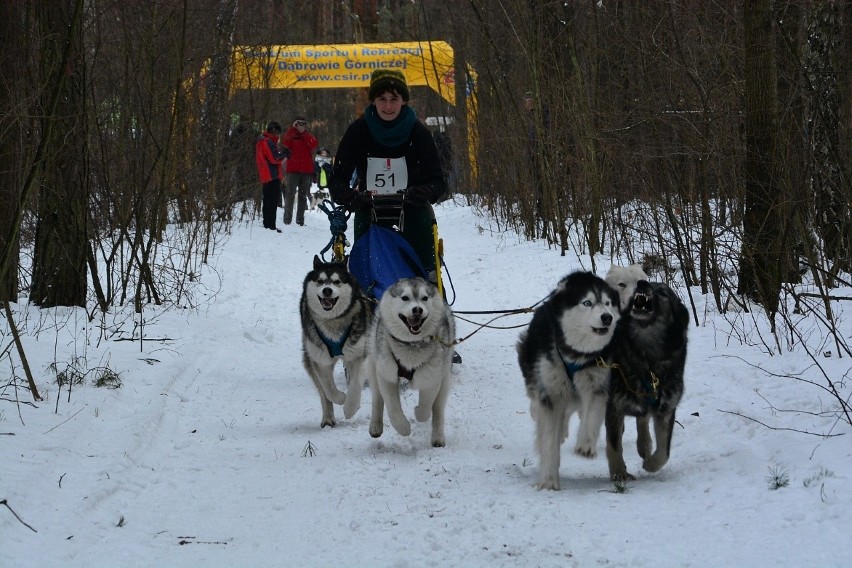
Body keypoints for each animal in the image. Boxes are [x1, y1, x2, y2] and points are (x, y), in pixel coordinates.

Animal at [302, 255, 372, 428]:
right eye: (320, 281)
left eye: (337, 281)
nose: (327, 290)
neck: (333, 320)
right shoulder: (320, 359)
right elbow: (328, 388)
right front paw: (341, 398)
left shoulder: (359, 355)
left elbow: (355, 383)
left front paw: (350, 407)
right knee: (323, 393)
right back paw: (328, 419)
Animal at [516, 270, 624, 488]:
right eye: (587, 303)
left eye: (608, 303)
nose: (607, 317)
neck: (577, 354)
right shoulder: (550, 391)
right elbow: (548, 438)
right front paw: (548, 481)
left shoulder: (598, 384)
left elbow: (592, 415)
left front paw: (586, 445)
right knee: (541, 406)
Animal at [604, 280, 692, 480]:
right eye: (649, 282)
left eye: (663, 292)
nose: (641, 283)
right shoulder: (613, 406)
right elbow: (614, 445)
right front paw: (619, 473)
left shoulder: (666, 408)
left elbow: (664, 452)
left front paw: (650, 464)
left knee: (643, 418)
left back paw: (644, 445)